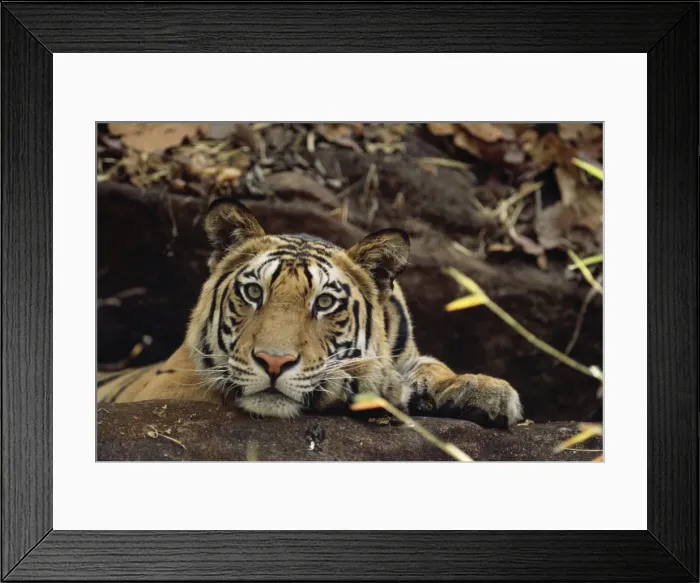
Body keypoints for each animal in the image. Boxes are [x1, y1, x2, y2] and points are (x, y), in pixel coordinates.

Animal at [98, 197, 523, 427]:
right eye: (254, 292)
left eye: (323, 303)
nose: (273, 362)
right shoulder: (168, 386)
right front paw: (370, 381)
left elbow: (436, 367)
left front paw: (485, 390)